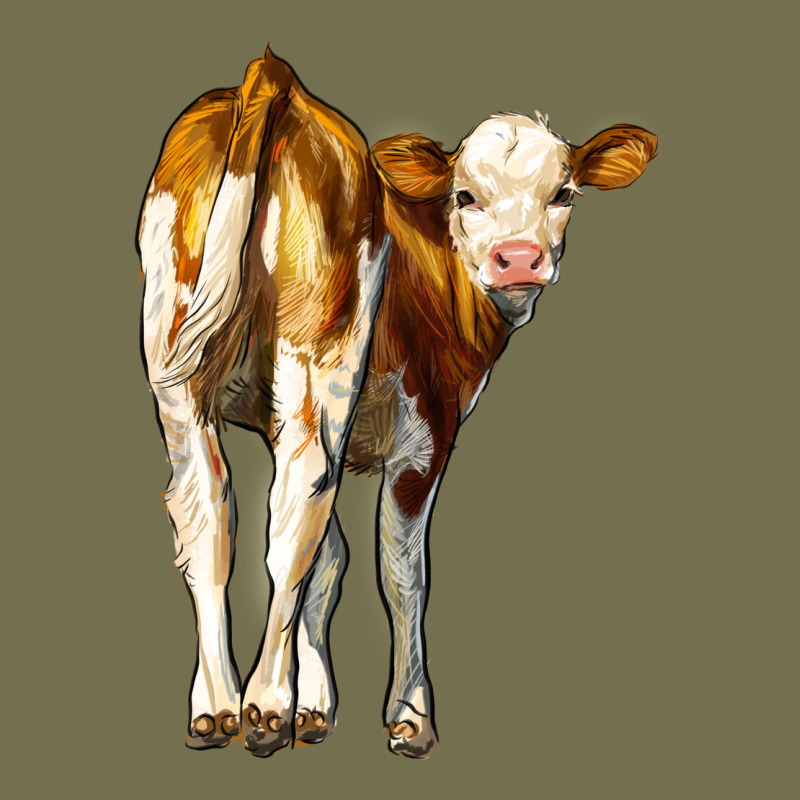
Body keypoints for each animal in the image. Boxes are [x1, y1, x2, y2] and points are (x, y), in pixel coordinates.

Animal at [137, 46, 656, 759]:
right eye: (465, 195)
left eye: (564, 193)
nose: (518, 259)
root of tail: (277, 81)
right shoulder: (426, 431)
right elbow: (400, 571)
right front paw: (408, 716)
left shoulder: (279, 419)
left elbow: (327, 563)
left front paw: (315, 709)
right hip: (319, 361)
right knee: (294, 512)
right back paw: (263, 707)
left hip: (176, 368)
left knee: (208, 512)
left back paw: (217, 706)